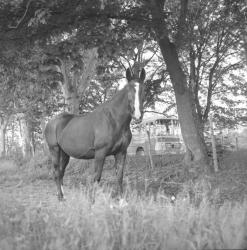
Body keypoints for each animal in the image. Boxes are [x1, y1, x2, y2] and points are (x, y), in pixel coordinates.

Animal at [44, 67, 146, 200]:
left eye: (144, 90)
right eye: (129, 90)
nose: (138, 115)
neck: (114, 120)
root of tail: (51, 122)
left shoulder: (121, 152)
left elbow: (119, 177)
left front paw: (121, 200)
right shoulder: (100, 153)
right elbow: (97, 177)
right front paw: (93, 201)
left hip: (65, 153)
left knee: (61, 172)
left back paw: (63, 196)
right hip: (54, 149)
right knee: (56, 172)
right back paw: (60, 197)